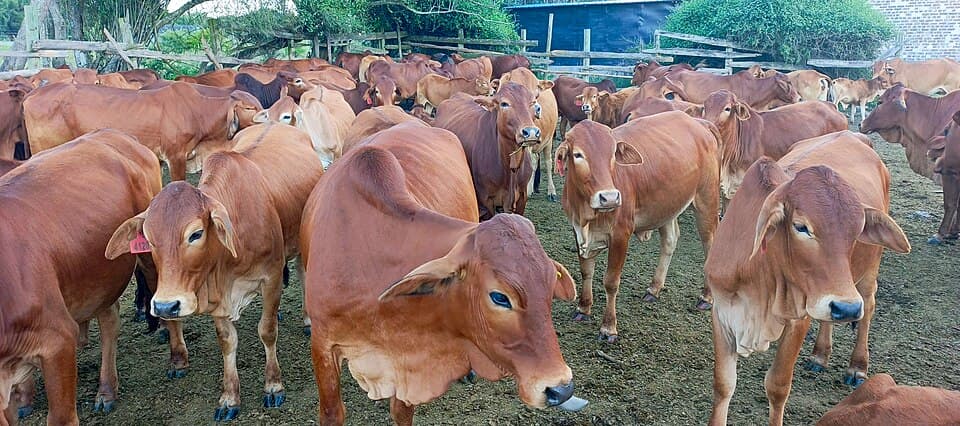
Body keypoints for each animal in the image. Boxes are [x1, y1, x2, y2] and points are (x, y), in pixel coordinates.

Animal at [0, 129, 161, 425]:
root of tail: (115, 134)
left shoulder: (58, 340)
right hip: (101, 277)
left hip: (146, 253)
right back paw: (107, 389)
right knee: (109, 319)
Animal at [105, 123, 323, 421]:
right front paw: (229, 398)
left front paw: (273, 386)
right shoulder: (218, 297)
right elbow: (227, 341)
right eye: (148, 239)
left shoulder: (271, 278)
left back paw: (307, 320)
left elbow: (267, 331)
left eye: (196, 234)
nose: (165, 306)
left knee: (302, 274)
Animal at [300, 121, 581, 425]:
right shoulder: (323, 346)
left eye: (549, 288)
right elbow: (332, 412)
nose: (561, 389)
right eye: (500, 297)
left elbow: (401, 412)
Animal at [557, 115, 720, 341]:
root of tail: (699, 122)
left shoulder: (620, 234)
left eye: (612, 154)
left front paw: (608, 327)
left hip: (706, 200)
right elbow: (586, 271)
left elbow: (611, 282)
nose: (609, 197)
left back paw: (706, 297)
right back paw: (654, 289)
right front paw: (583, 308)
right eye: (578, 154)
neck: (586, 214)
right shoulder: (577, 230)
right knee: (670, 240)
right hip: (667, 206)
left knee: (710, 244)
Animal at [706, 131, 911, 426]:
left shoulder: (798, 318)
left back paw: (857, 366)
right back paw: (820, 355)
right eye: (801, 227)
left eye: (858, 229)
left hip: (866, 274)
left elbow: (777, 386)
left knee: (869, 307)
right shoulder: (722, 312)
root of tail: (853, 133)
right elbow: (724, 385)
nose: (847, 307)